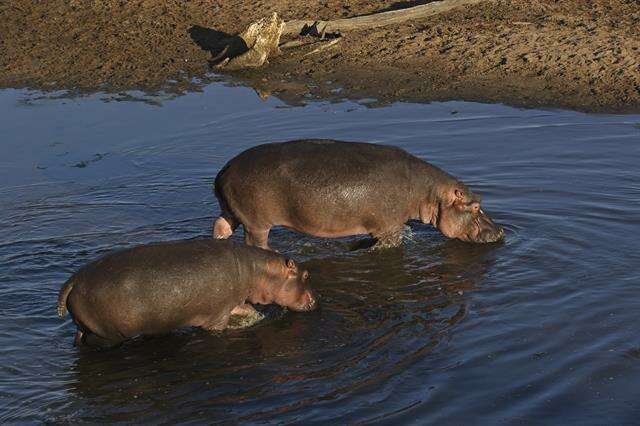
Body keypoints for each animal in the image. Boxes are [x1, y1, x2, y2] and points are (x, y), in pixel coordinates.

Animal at [56, 238, 316, 348]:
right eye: (306, 275)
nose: (315, 300)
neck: (257, 270)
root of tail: (73, 281)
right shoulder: (217, 316)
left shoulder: (234, 303)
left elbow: (249, 310)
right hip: (108, 333)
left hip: (83, 325)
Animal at [212, 139, 502, 250]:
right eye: (476, 206)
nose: (500, 230)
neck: (429, 192)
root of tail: (224, 171)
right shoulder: (390, 228)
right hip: (256, 223)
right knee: (256, 244)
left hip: (232, 213)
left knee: (220, 228)